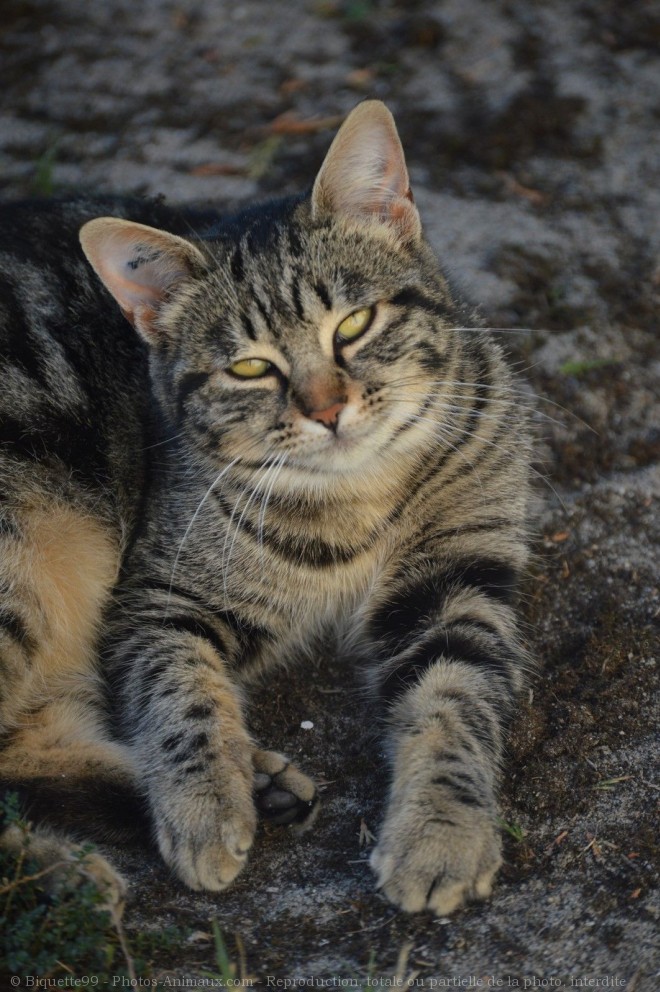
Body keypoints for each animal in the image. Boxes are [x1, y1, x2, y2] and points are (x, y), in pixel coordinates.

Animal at [0, 101, 532, 916]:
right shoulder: (158, 598)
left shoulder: (457, 576)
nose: (329, 410)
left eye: (354, 325)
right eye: (250, 367)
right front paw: (201, 805)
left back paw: (250, 787)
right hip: (27, 554)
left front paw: (441, 832)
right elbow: (181, 695)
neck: (354, 501)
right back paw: (75, 864)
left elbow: (455, 701)